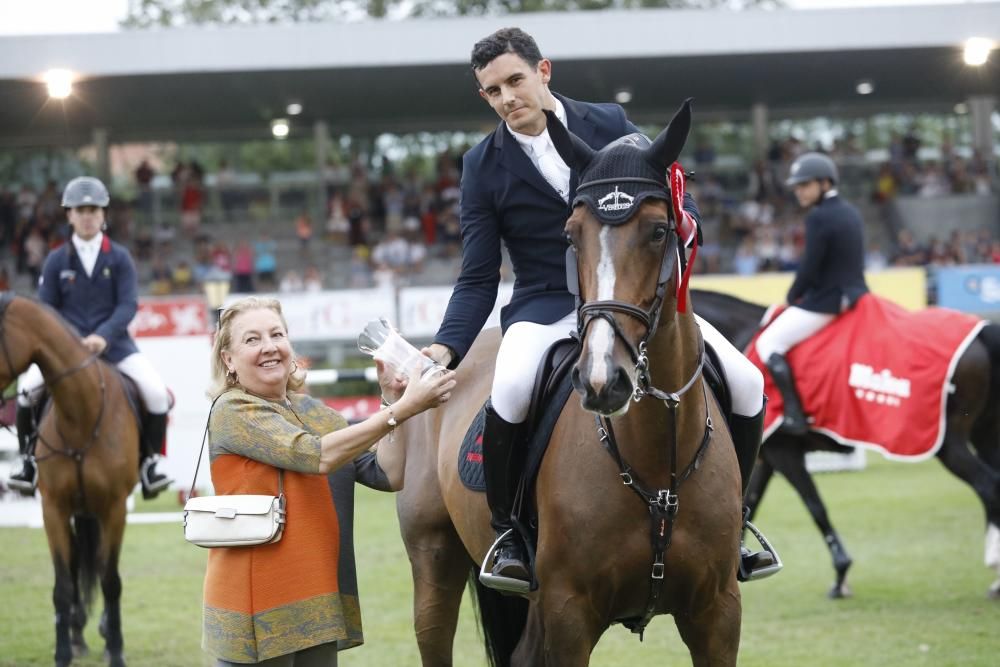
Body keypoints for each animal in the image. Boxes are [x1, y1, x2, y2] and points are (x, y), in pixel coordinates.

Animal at [0, 294, 139, 667]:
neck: (80, 413)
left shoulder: (115, 509)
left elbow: (111, 580)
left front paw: (117, 651)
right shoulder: (54, 509)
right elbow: (63, 585)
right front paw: (63, 652)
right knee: (77, 563)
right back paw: (77, 637)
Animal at [390, 102, 744, 664]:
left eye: (659, 231)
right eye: (572, 234)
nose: (603, 379)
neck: (657, 462)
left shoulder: (718, 614)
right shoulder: (569, 614)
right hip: (434, 556)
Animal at [692, 288, 1000, 600]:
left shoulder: (784, 453)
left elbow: (815, 507)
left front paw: (840, 577)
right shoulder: (768, 457)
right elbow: (750, 502)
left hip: (949, 445)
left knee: (987, 485)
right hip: (985, 434)